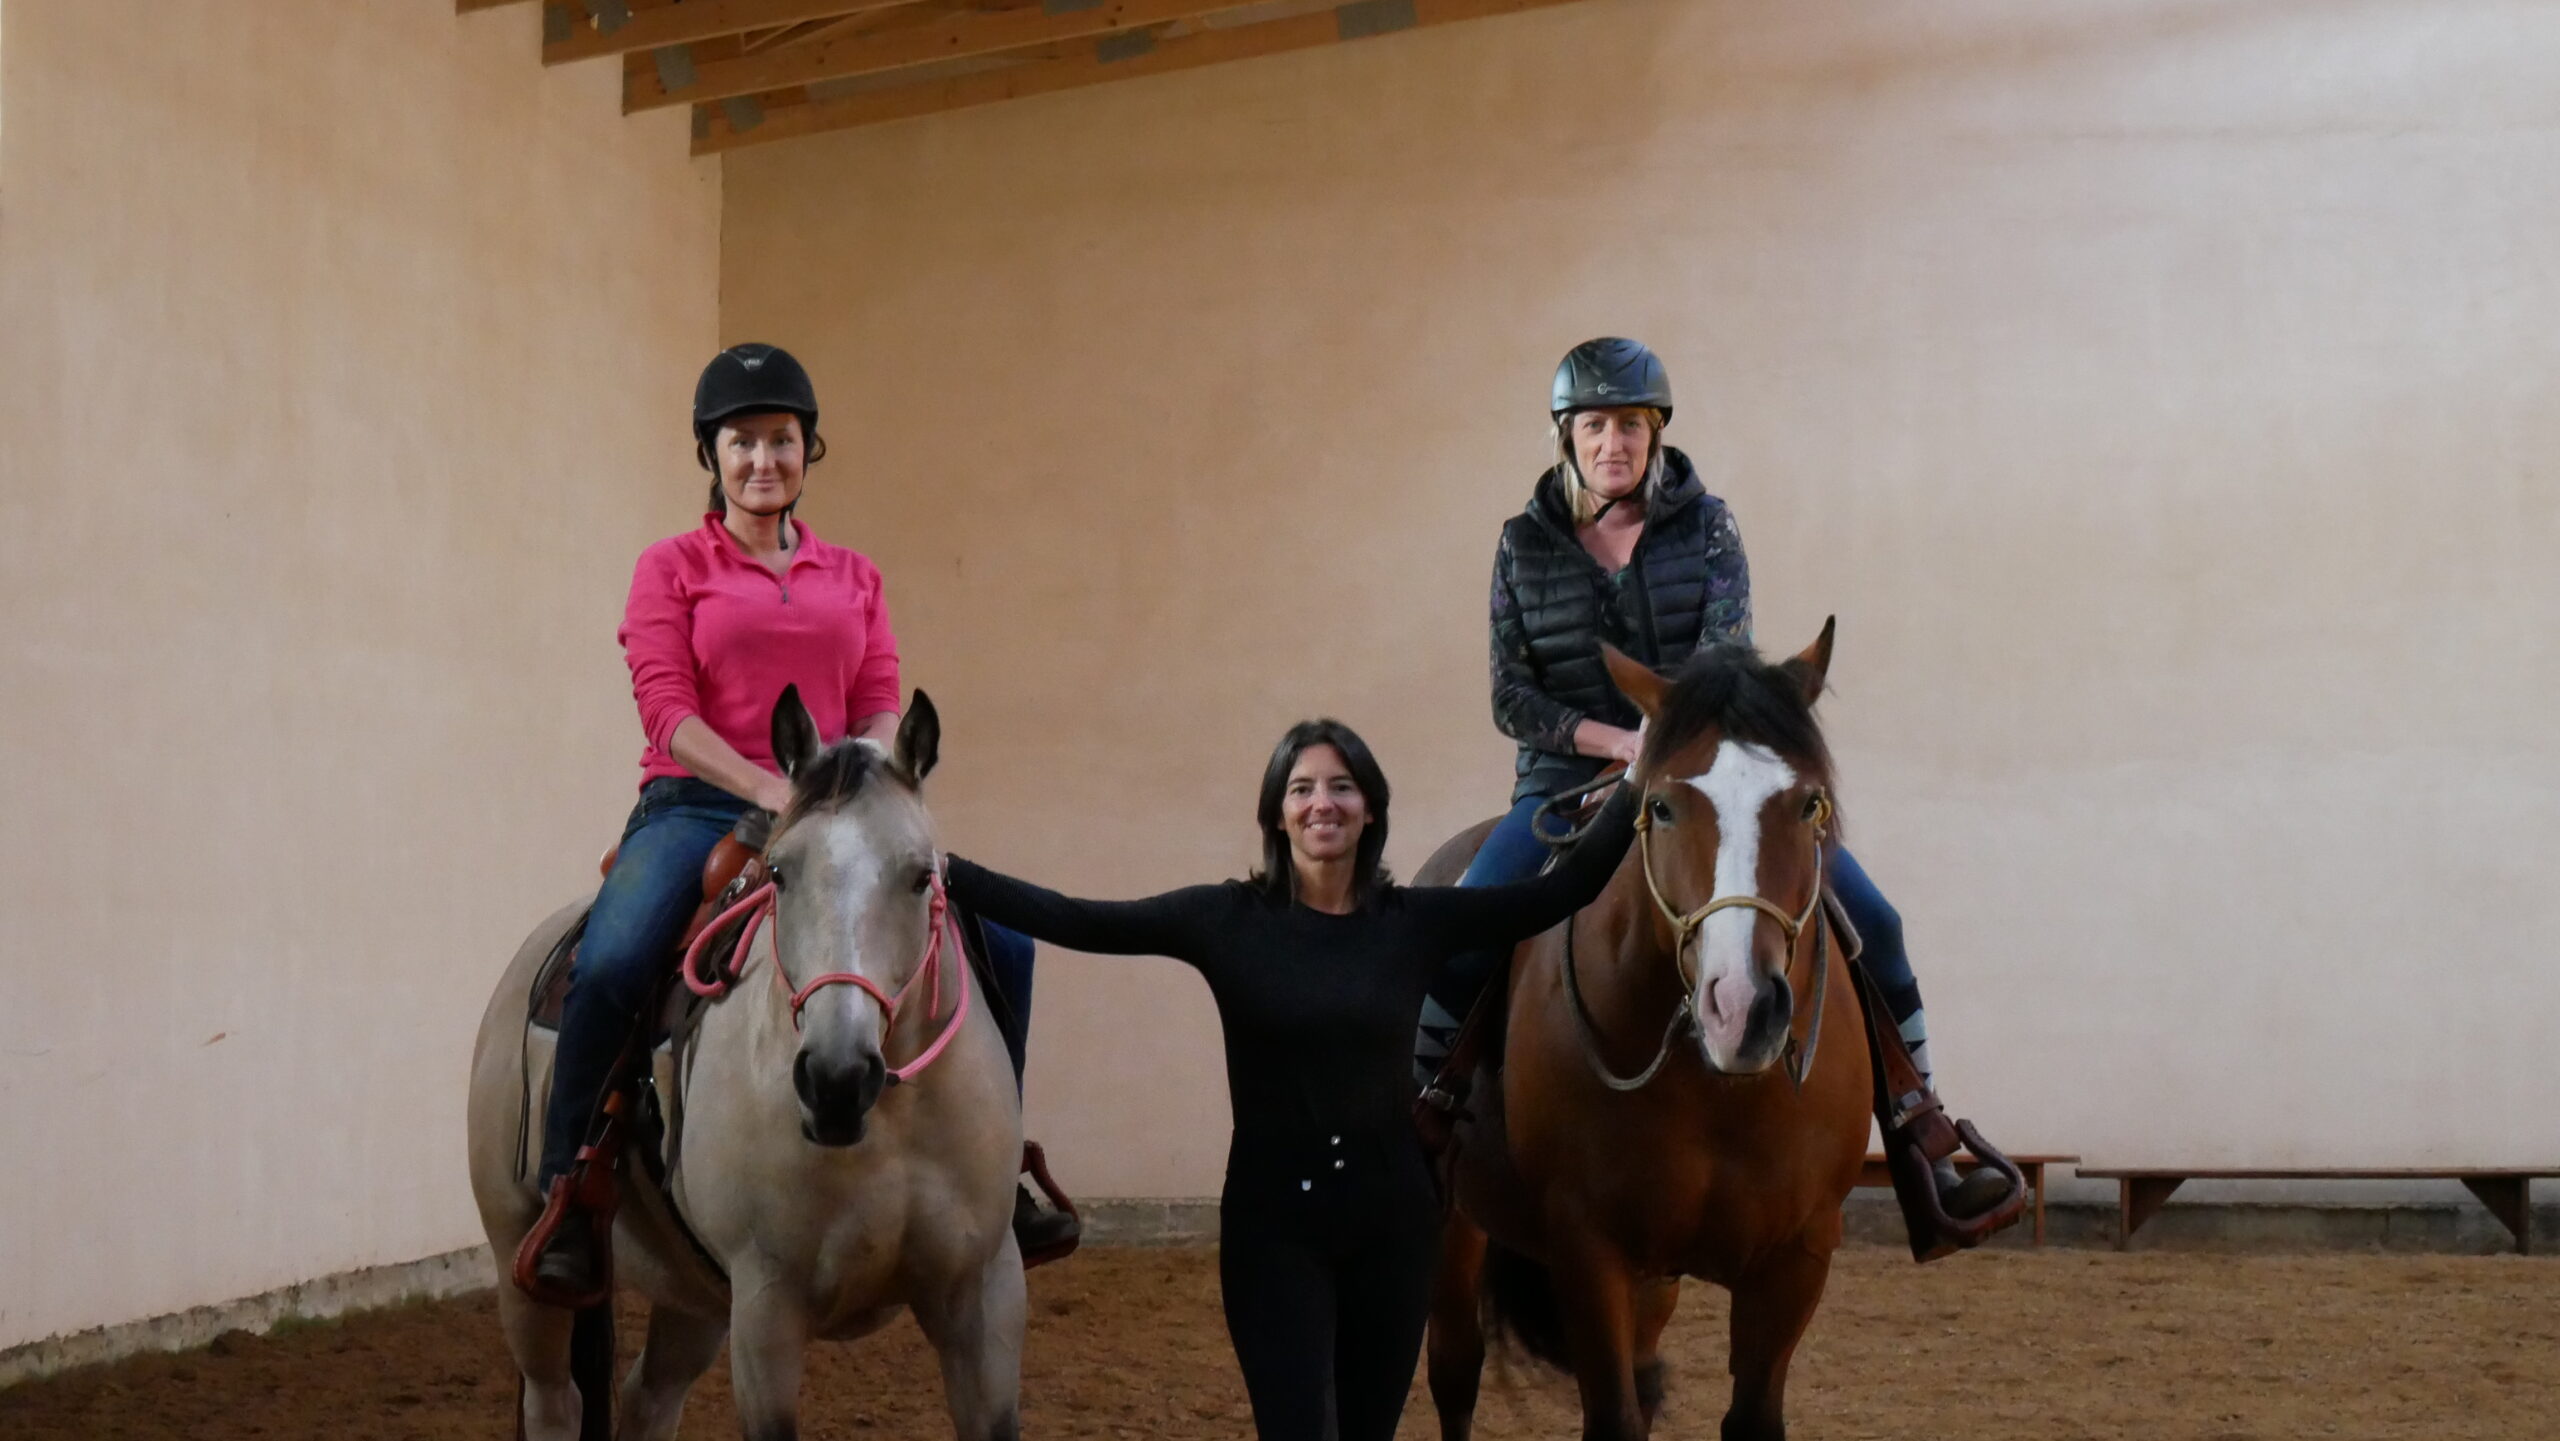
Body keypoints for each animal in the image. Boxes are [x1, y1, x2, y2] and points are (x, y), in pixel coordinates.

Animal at [466, 688, 1027, 1441]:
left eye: (921, 875)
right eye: (781, 872)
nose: (836, 1080)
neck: (892, 1125)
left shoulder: (984, 1294)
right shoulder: (766, 1308)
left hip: (694, 1295)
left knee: (648, 1398)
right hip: (522, 1265)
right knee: (556, 1401)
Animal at [1417, 626, 1872, 1441]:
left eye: (1809, 802)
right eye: (1660, 805)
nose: (1743, 1007)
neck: (1716, 1085)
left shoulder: (1798, 1256)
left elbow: (1747, 1414)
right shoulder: (1589, 1251)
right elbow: (1613, 1415)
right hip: (1454, 1222)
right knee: (1455, 1367)